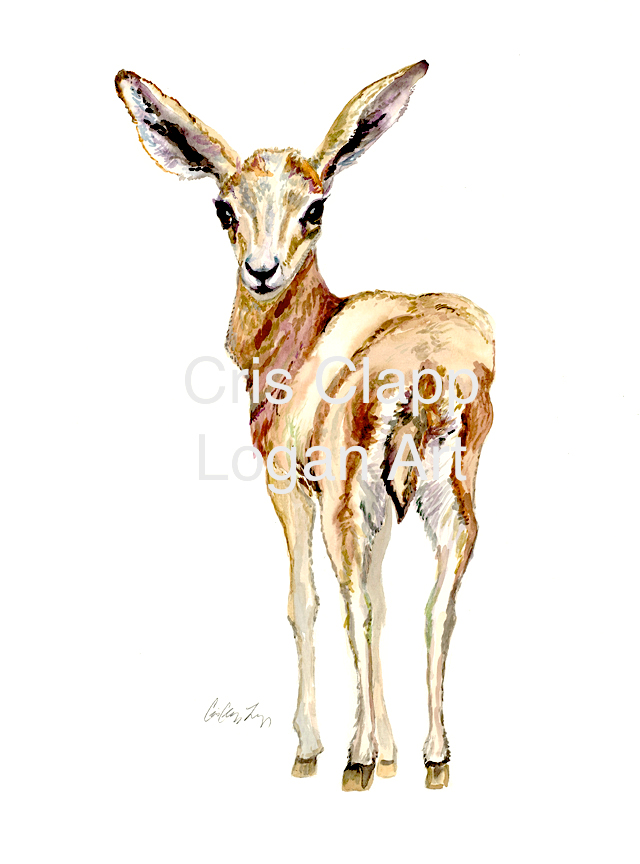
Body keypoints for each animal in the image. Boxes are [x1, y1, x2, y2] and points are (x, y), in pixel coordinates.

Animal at [115, 61, 495, 791]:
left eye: (314, 207)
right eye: (225, 208)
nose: (261, 273)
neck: (307, 335)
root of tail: (429, 362)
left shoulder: (293, 490)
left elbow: (305, 601)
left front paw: (315, 748)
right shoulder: (385, 509)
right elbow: (384, 597)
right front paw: (394, 753)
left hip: (346, 501)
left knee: (354, 605)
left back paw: (353, 759)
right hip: (449, 497)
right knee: (438, 606)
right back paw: (435, 758)